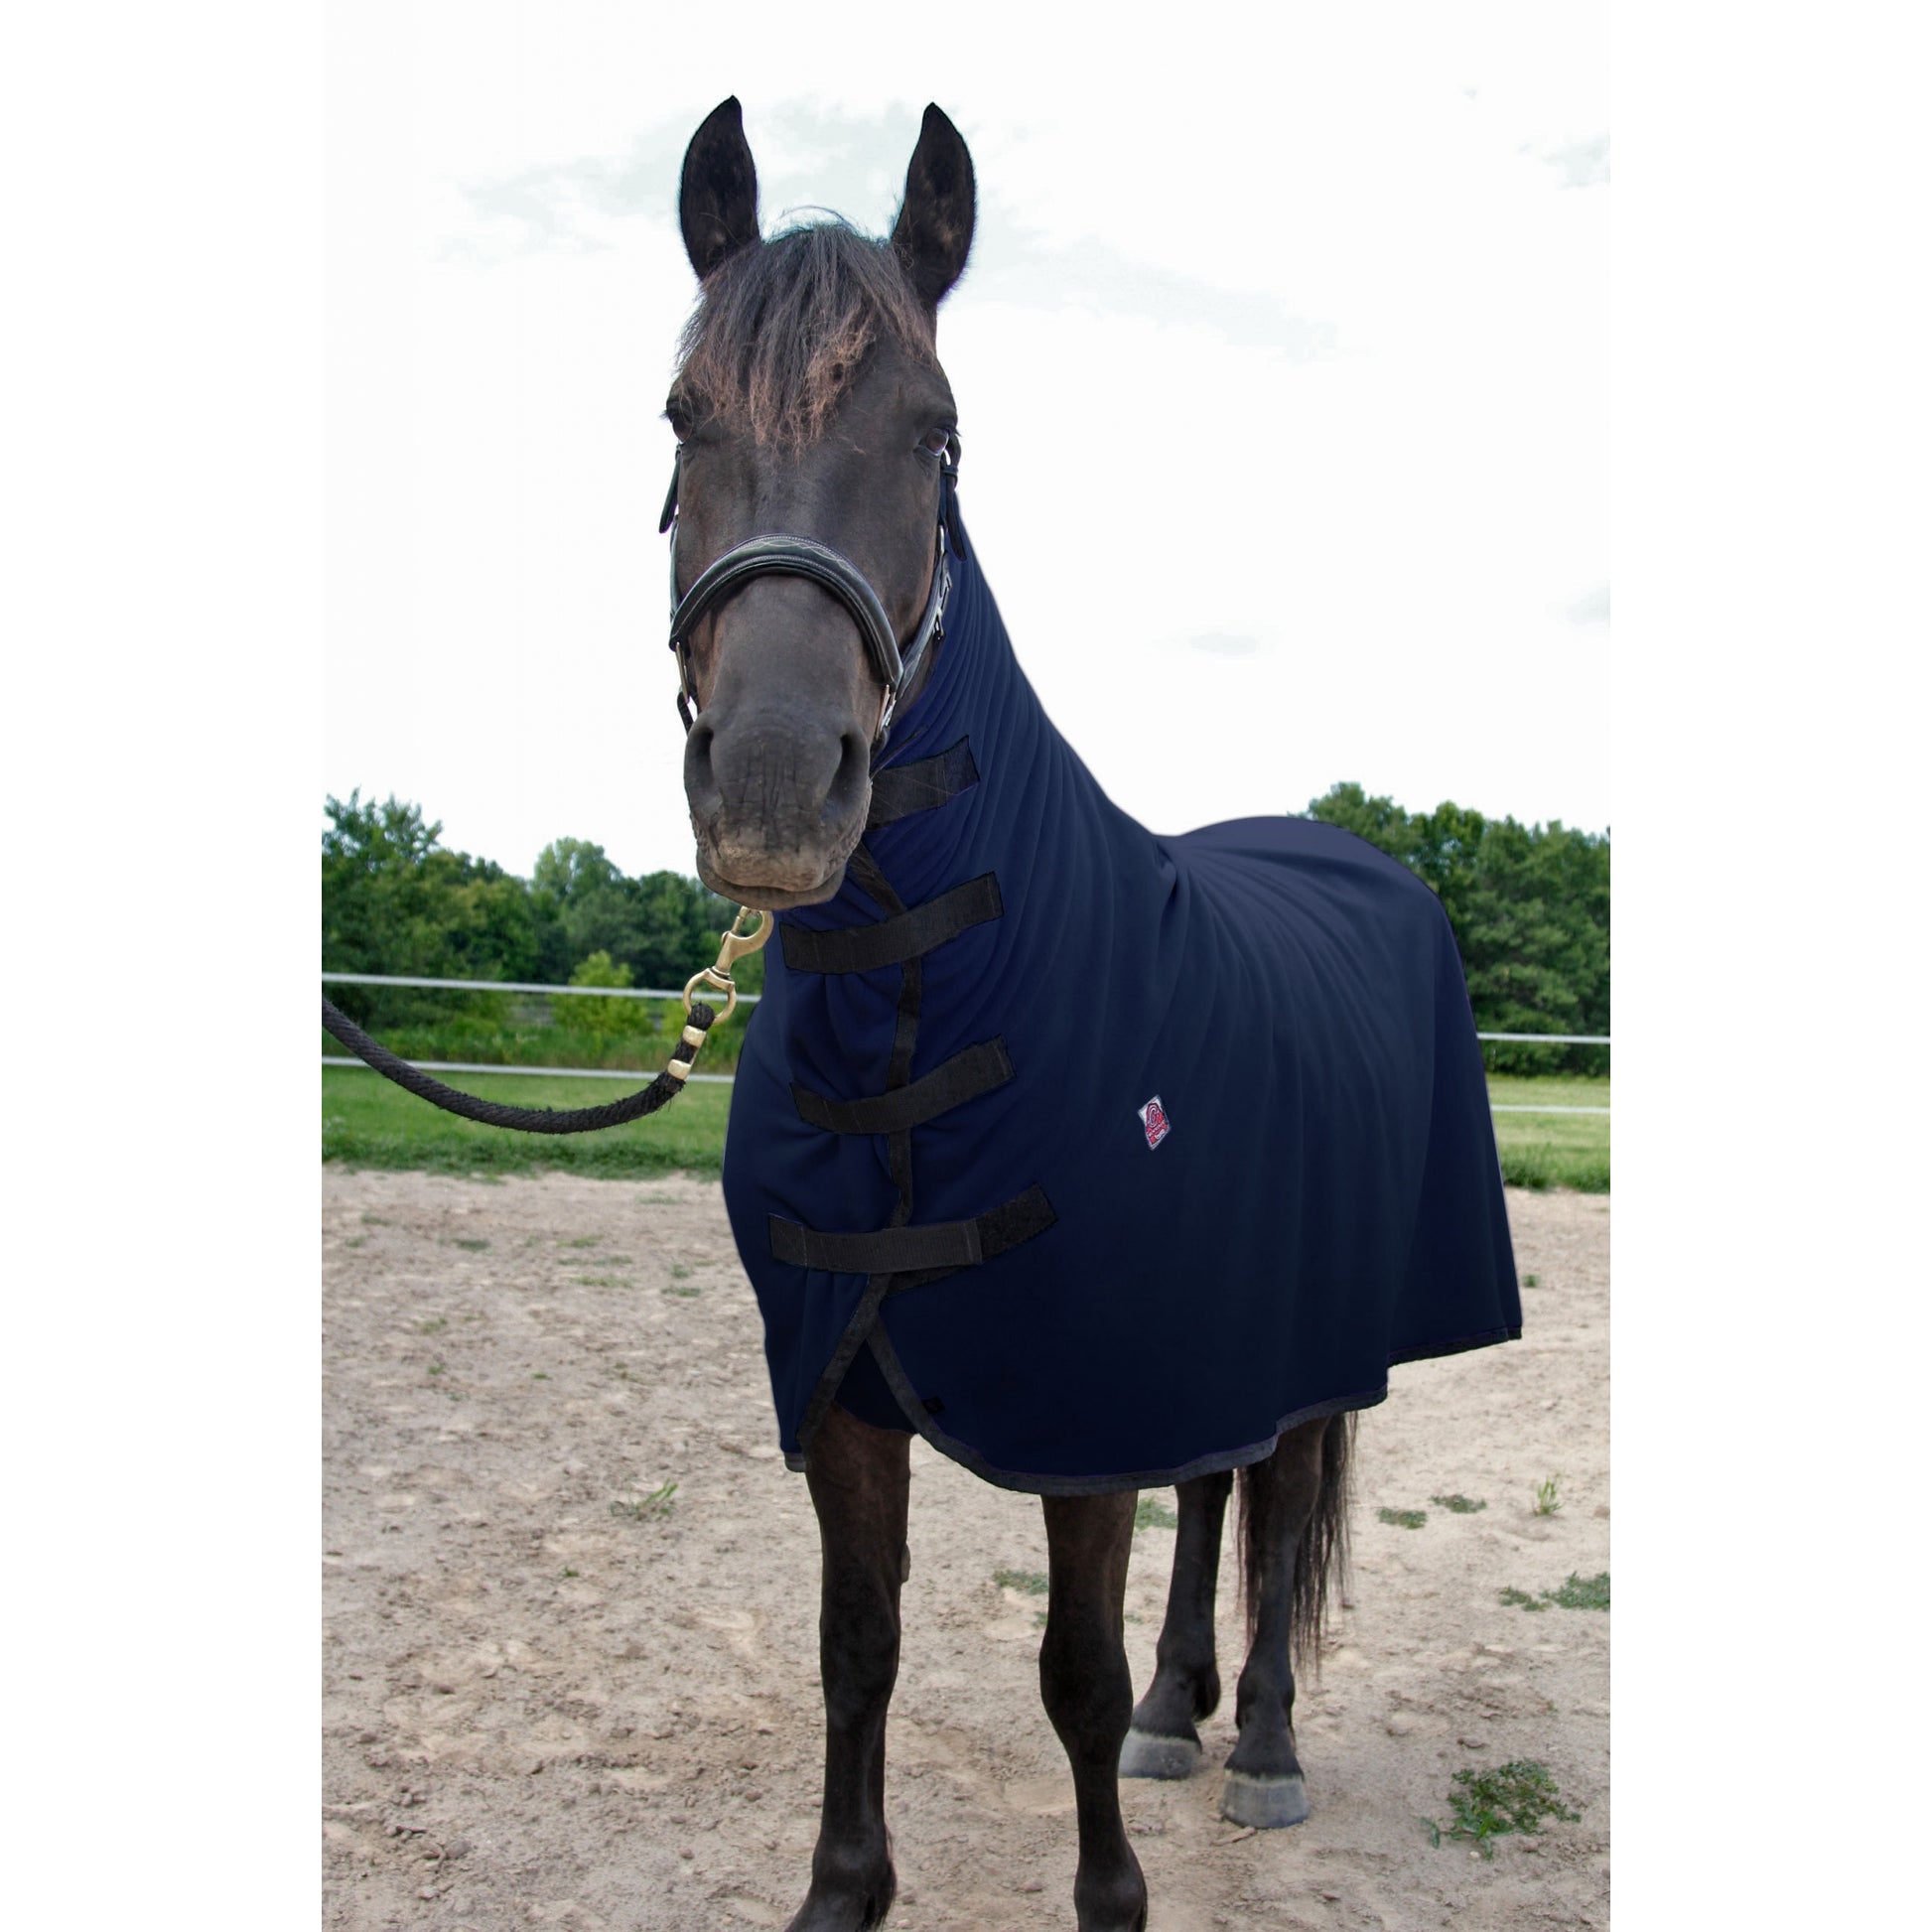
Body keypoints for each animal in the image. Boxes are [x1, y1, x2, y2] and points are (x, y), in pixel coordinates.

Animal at [661, 98, 1521, 1932]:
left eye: (936, 435)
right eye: (682, 416)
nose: (771, 788)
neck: (921, 999)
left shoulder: (1084, 1408)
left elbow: (1068, 1667)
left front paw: (1112, 1892)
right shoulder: (847, 1390)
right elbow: (859, 1647)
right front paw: (842, 1894)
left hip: (1310, 1343)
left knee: (1280, 1497)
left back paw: (1256, 1741)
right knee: (1216, 1484)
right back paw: (1185, 1718)